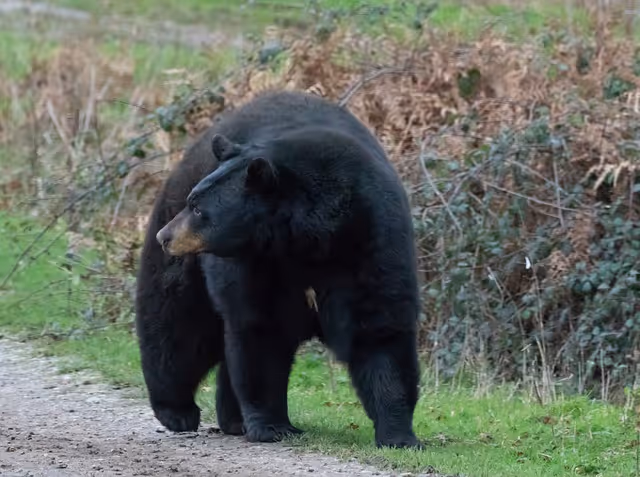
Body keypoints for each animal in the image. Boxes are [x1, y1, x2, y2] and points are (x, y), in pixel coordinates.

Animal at [135, 90, 422, 449]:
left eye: (199, 209)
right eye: (193, 201)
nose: (165, 236)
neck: (309, 241)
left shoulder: (372, 241)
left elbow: (379, 330)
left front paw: (400, 435)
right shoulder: (256, 264)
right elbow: (261, 331)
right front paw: (273, 426)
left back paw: (232, 419)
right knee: (176, 320)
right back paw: (177, 410)